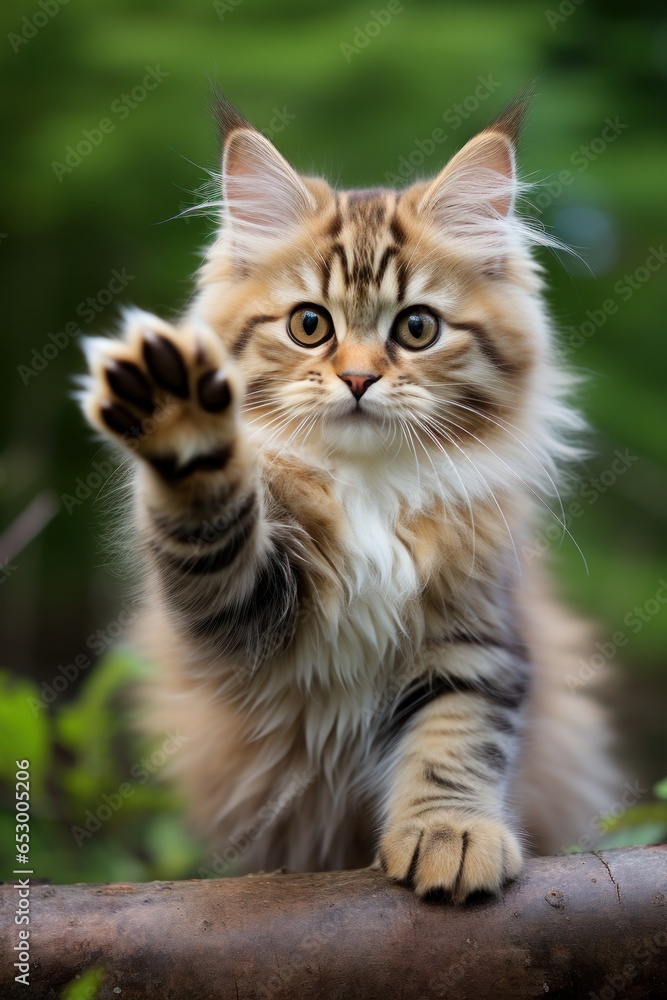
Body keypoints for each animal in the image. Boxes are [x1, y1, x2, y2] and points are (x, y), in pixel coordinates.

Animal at [81, 97, 620, 904]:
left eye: (417, 328)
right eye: (310, 324)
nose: (360, 379)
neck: (370, 489)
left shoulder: (477, 631)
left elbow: (454, 741)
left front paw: (450, 836)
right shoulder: (244, 616)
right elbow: (216, 522)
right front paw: (185, 427)